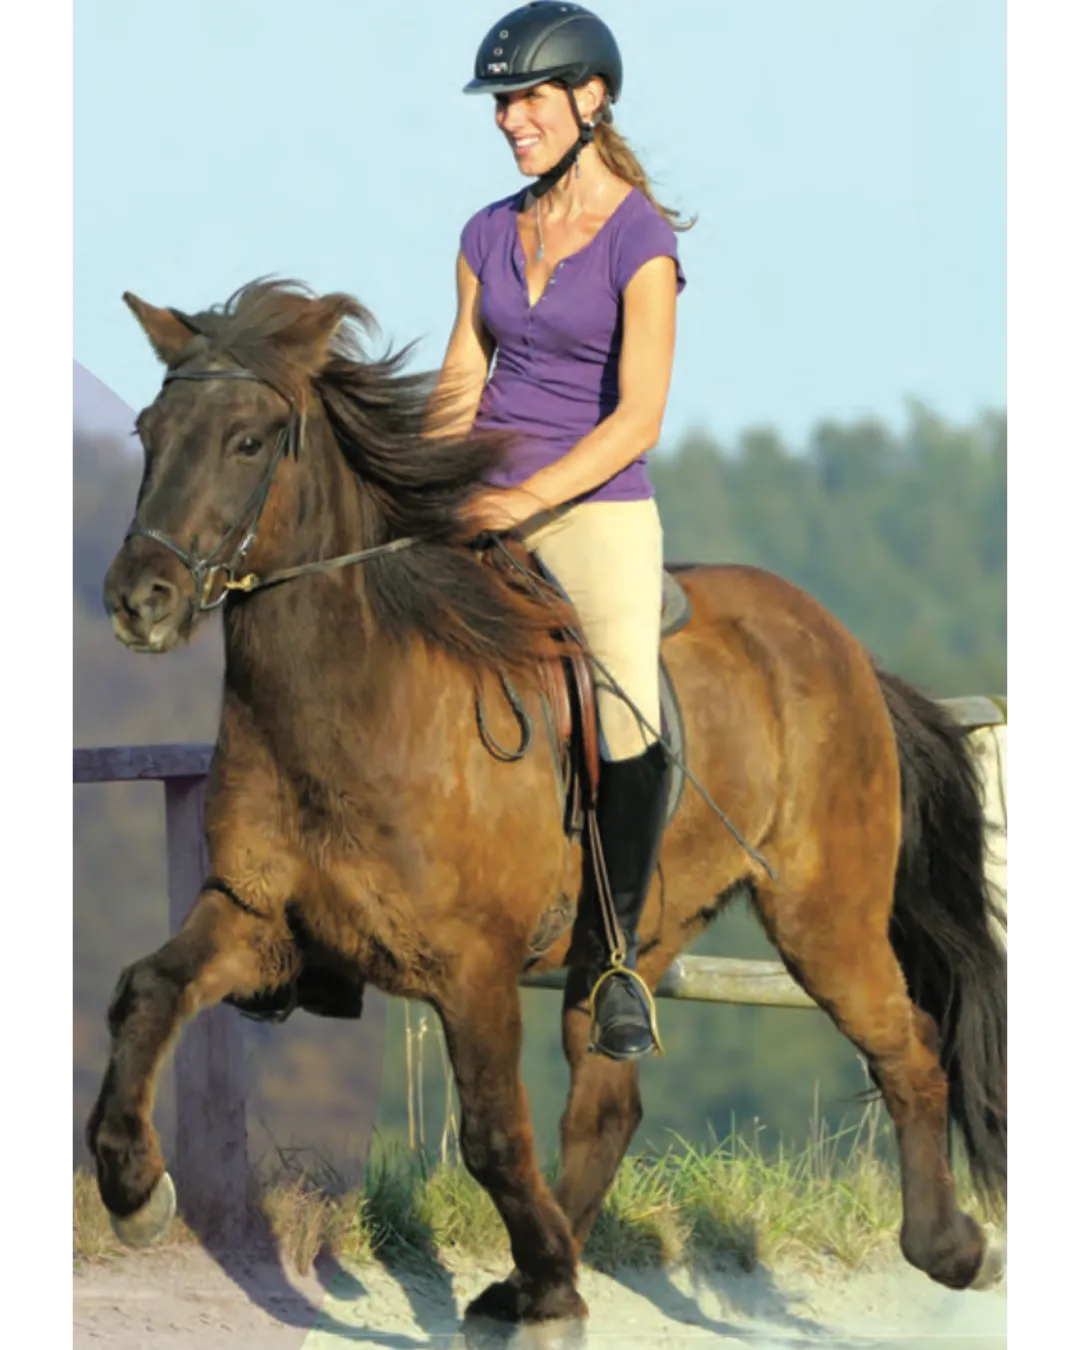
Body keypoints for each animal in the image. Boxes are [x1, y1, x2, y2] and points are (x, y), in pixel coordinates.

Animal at [86, 277, 1007, 1327]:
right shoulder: (257, 917)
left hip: (825, 920)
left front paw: (555, 1289)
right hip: (631, 940)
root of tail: (843, 649)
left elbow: (491, 1133)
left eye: (247, 440)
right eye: (150, 430)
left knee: (908, 1048)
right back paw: (532, 1271)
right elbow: (148, 991)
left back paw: (950, 1249)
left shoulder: (474, 967)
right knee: (609, 1105)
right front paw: (134, 1192)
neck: (354, 701)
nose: (139, 600)